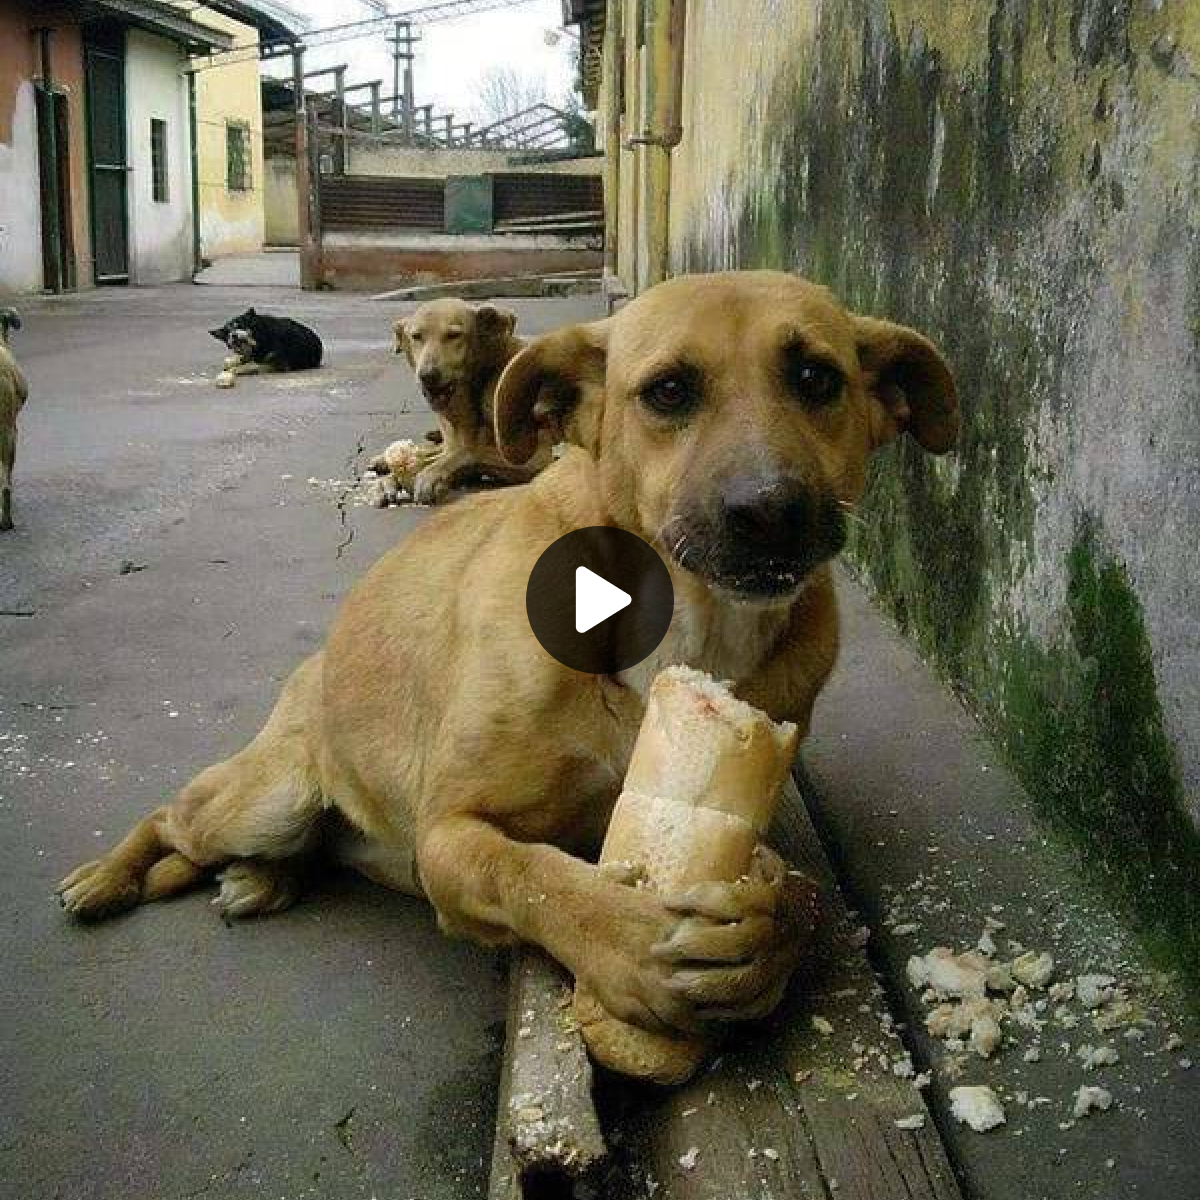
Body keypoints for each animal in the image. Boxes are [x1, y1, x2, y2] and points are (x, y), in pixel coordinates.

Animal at [58, 270, 955, 1051]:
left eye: (816, 377)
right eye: (669, 390)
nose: (770, 511)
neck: (686, 628)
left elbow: (797, 894)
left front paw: (765, 943)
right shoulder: (448, 836)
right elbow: (533, 877)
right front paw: (630, 944)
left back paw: (262, 879)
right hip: (264, 796)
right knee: (171, 815)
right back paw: (105, 879)